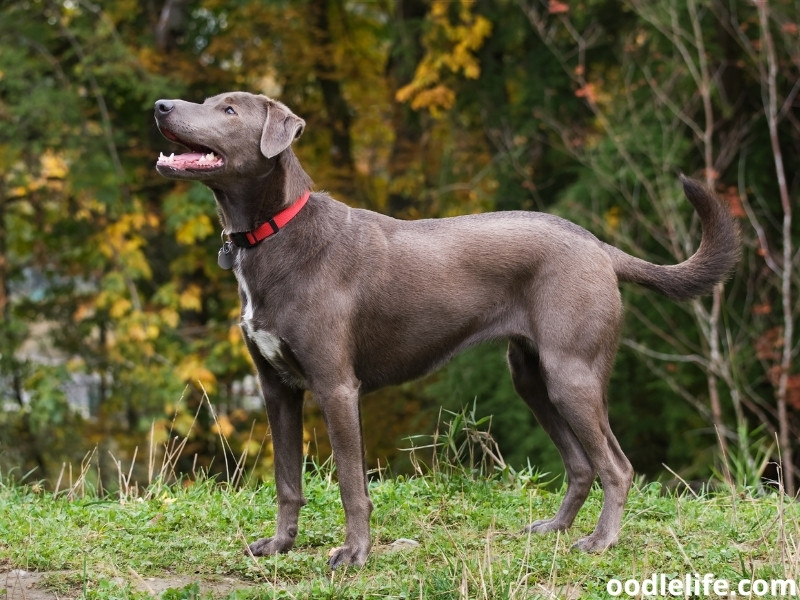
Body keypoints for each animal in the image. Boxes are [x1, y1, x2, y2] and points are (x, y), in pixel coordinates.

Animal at [153, 91, 740, 568]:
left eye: (230, 110)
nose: (160, 106)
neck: (276, 233)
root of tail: (598, 246)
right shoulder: (276, 389)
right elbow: (286, 480)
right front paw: (279, 546)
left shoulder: (337, 387)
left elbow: (350, 483)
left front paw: (354, 553)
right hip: (532, 377)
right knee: (580, 465)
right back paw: (554, 528)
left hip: (572, 374)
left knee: (616, 466)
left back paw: (600, 542)